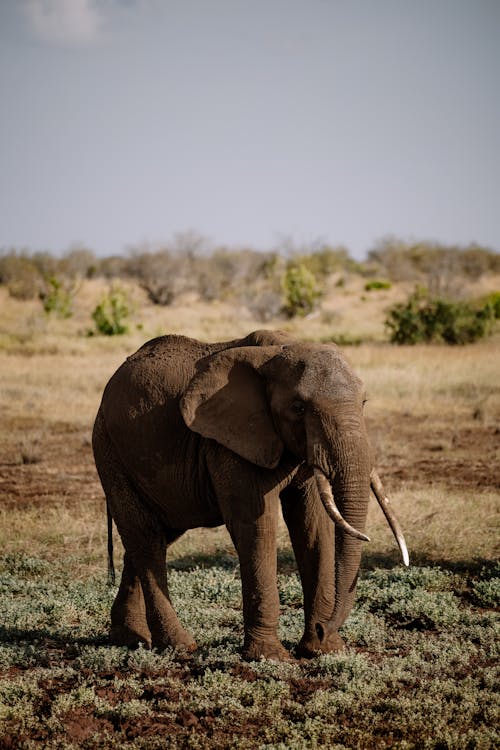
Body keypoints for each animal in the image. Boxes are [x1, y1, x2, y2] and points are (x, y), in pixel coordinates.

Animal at [93, 332, 406, 660]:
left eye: (364, 402)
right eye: (298, 407)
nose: (324, 629)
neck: (278, 350)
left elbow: (313, 525)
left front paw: (324, 651)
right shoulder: (230, 442)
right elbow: (256, 525)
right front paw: (271, 657)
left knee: (155, 536)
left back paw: (129, 638)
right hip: (110, 452)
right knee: (146, 539)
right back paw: (179, 646)